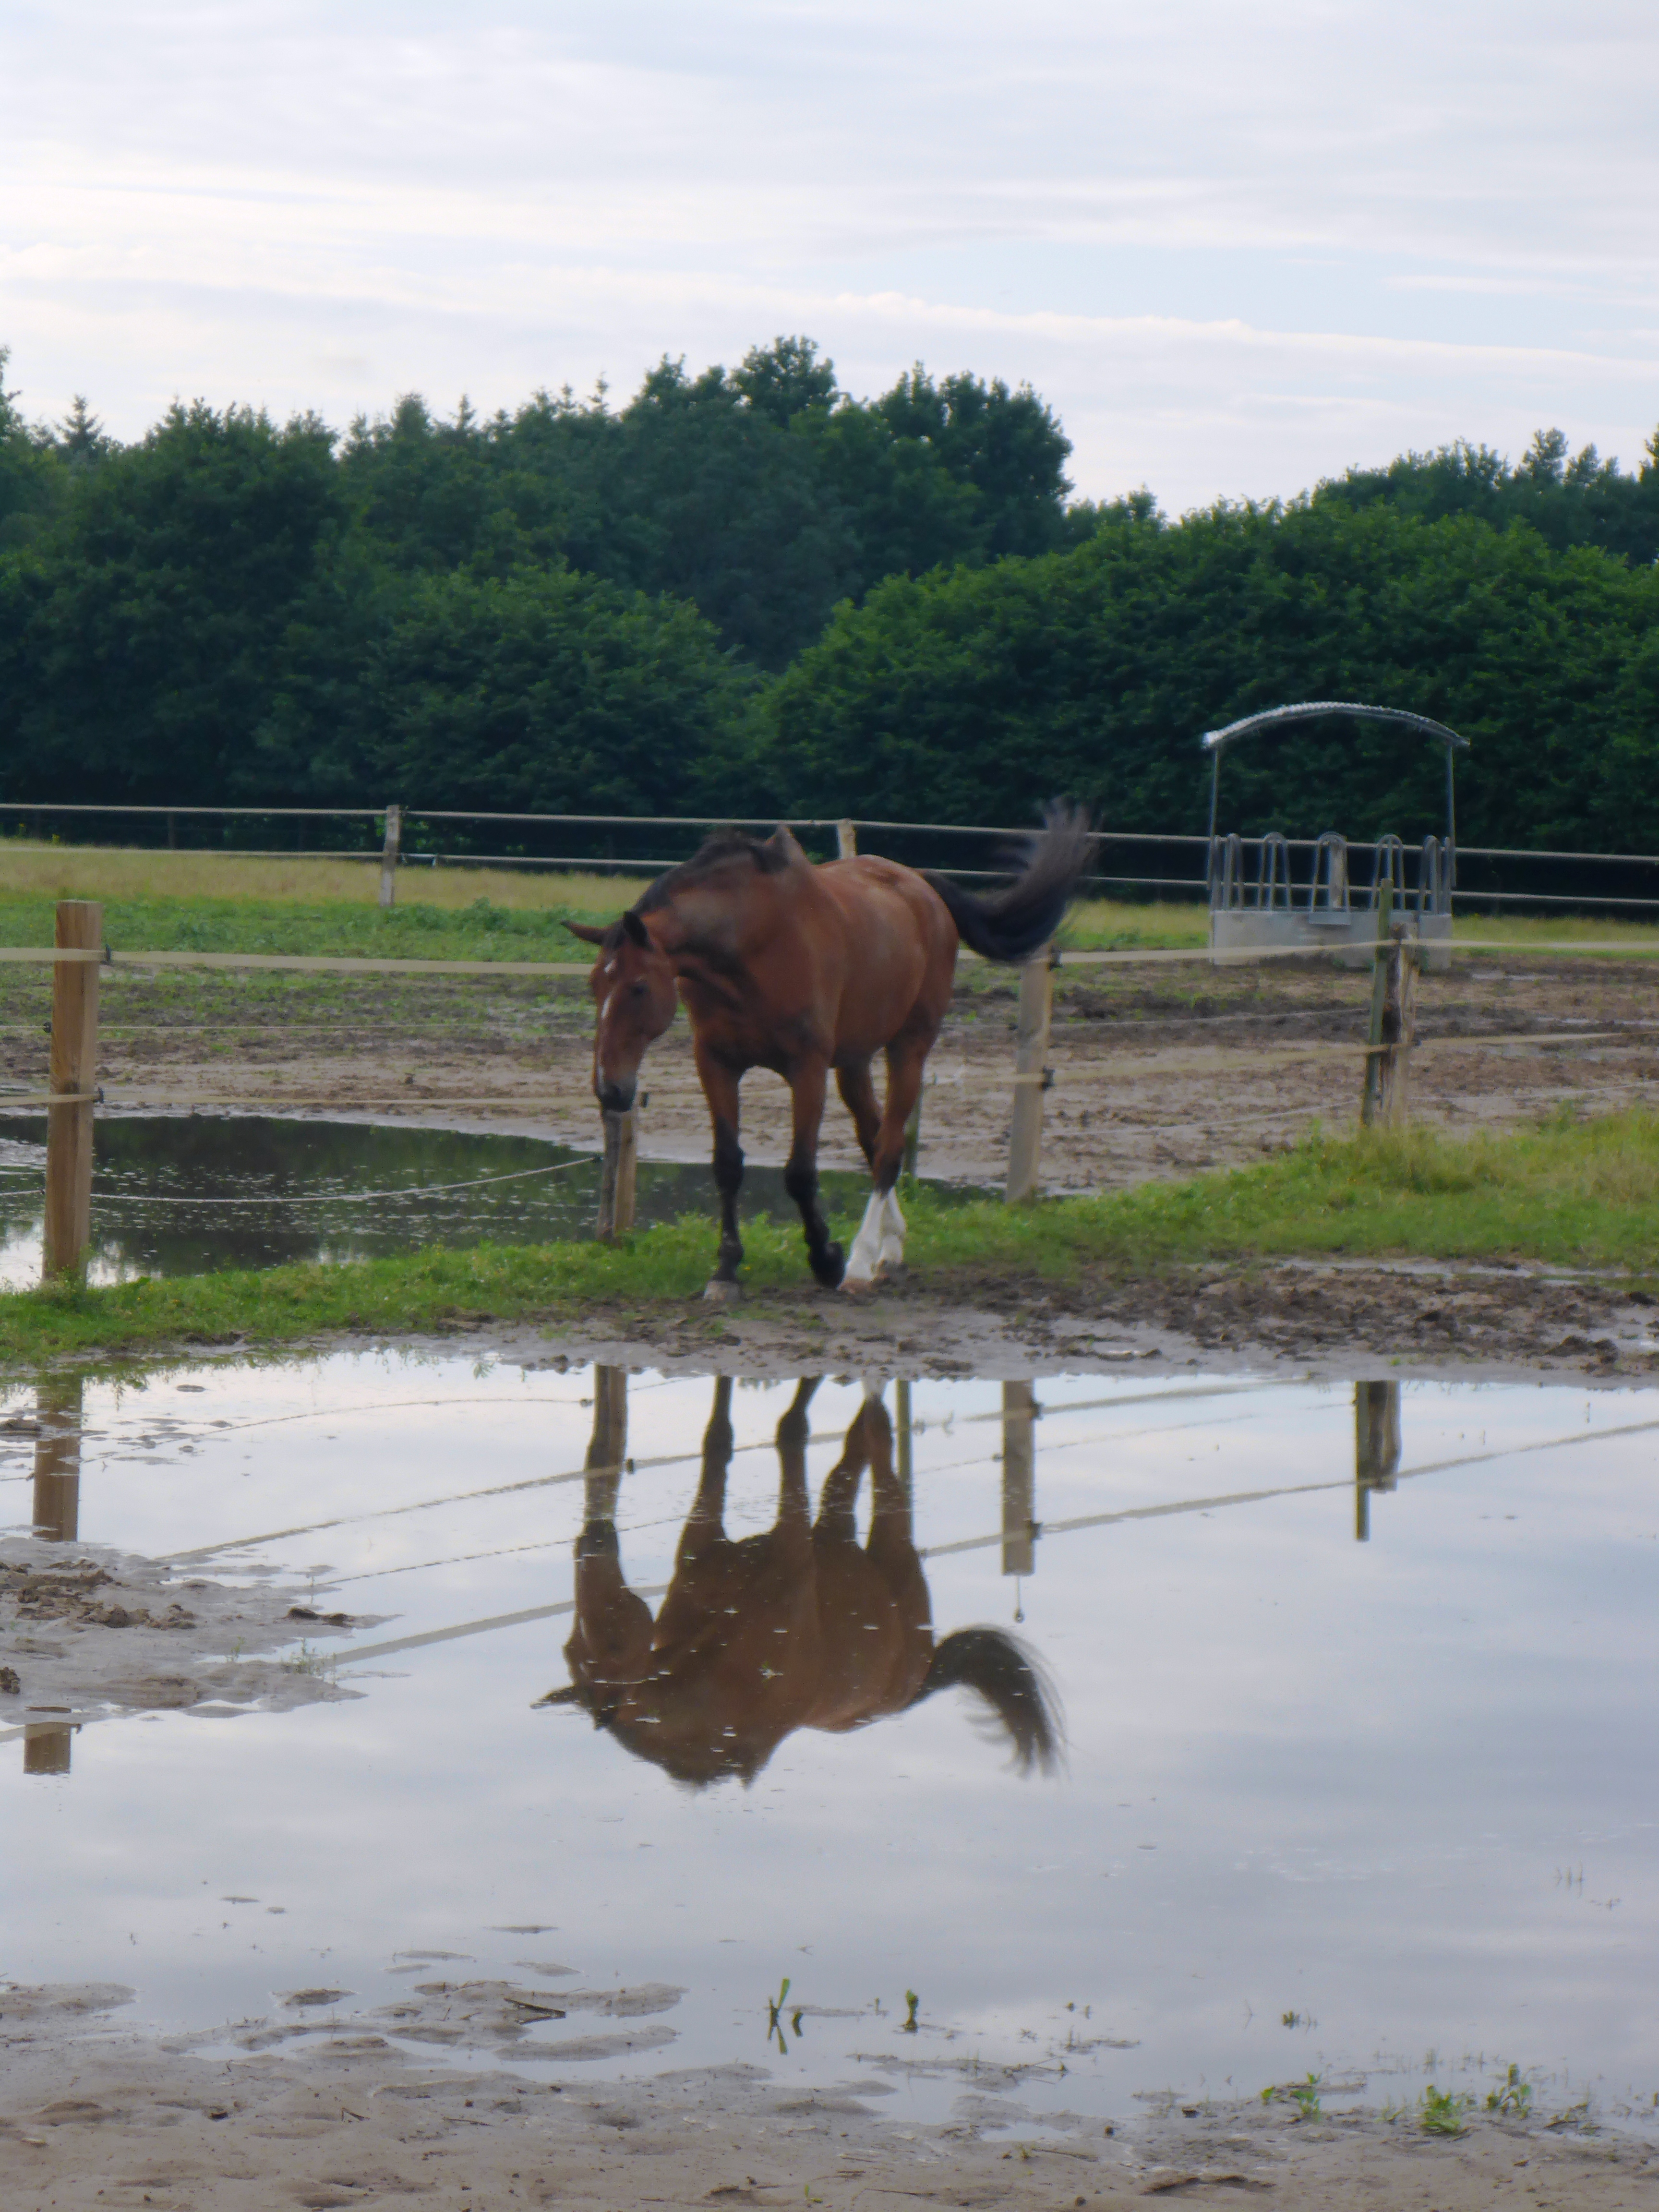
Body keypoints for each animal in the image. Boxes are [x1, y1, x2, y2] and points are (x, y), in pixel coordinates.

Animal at [538, 1374, 1061, 1789]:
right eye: (571, 1647)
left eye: (610, 1642)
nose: (593, 1541)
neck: (722, 1677)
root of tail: (916, 1676)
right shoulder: (701, 1547)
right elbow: (718, 1439)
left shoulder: (791, 1547)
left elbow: (791, 1430)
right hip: (838, 1535)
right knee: (851, 1457)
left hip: (894, 1546)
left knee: (879, 1441)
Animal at [566, 806, 1094, 1294]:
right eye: (594, 985)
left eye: (637, 987)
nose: (610, 1089)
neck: (752, 945)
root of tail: (921, 887)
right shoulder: (716, 1063)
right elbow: (727, 1163)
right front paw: (726, 1270)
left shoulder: (807, 1068)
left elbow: (800, 1172)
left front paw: (826, 1258)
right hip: (855, 1061)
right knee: (875, 1137)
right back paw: (892, 1247)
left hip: (908, 1047)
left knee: (888, 1149)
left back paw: (861, 1261)